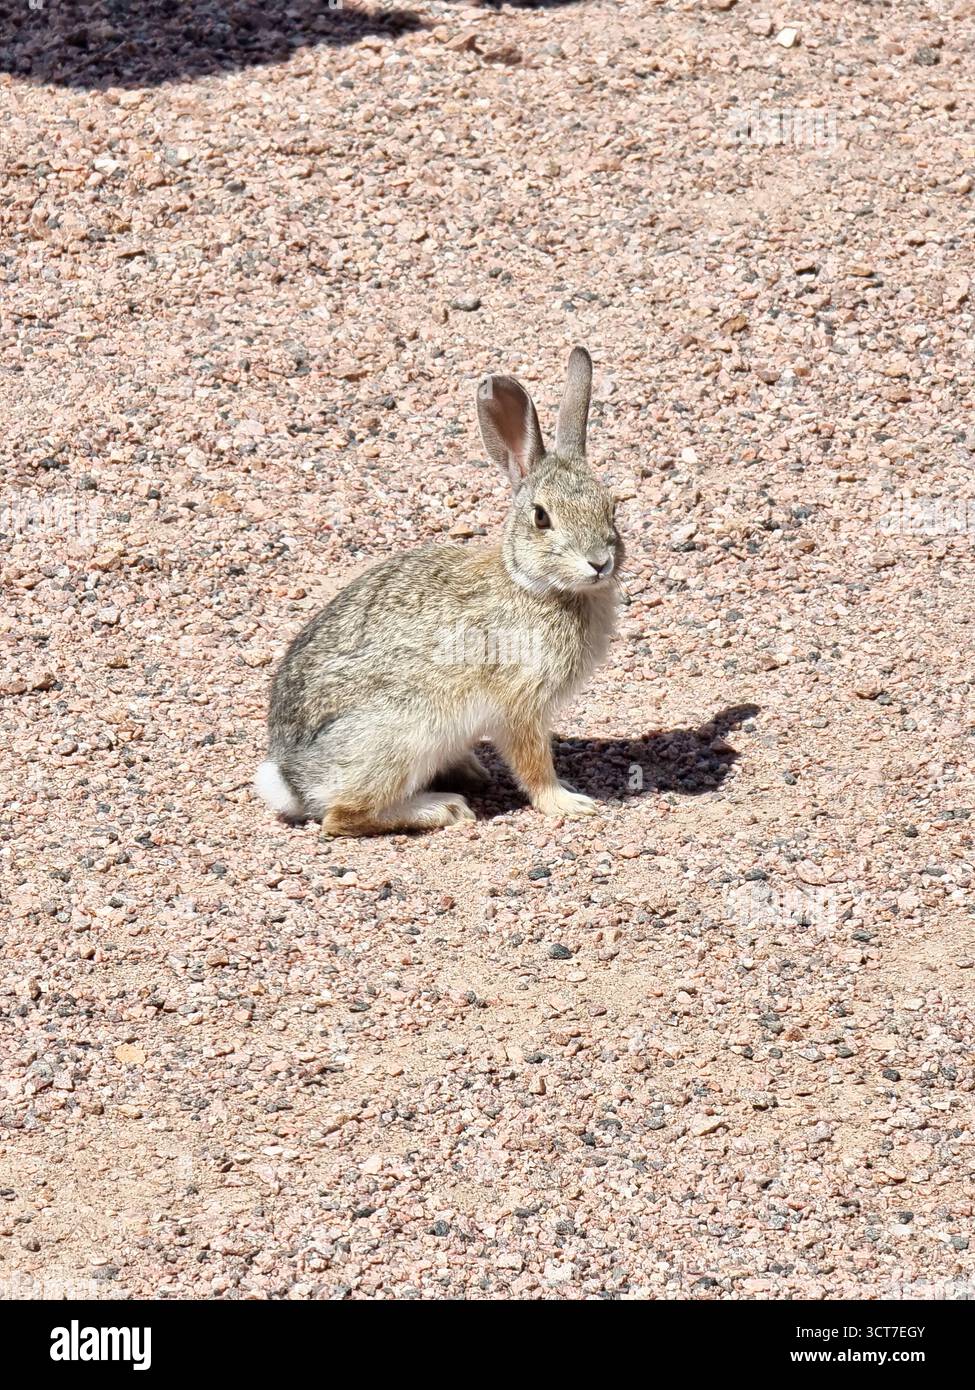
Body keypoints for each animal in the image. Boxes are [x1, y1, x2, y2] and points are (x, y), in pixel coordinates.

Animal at [255, 345, 624, 836]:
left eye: (611, 507)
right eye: (542, 517)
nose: (599, 563)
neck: (533, 586)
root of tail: (292, 780)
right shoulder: (520, 703)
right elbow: (533, 764)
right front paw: (568, 803)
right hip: (403, 732)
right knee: (343, 816)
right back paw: (442, 807)